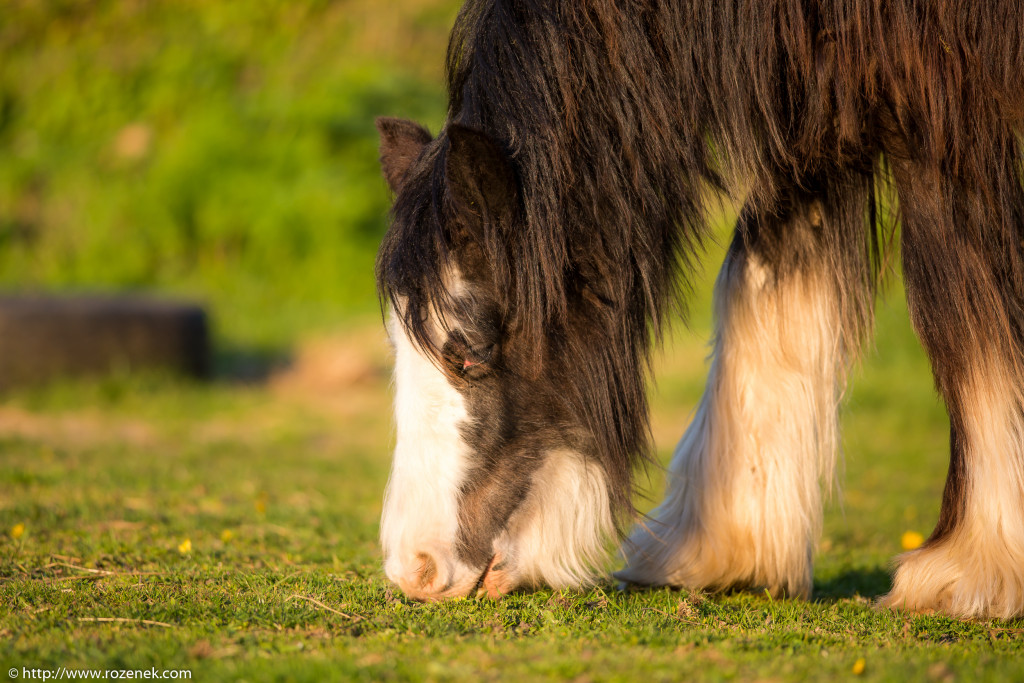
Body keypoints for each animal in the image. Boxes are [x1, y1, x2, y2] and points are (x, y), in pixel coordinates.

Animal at [374, 0, 1024, 618]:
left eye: (470, 353)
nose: (416, 569)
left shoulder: (945, 116)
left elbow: (969, 322)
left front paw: (971, 570)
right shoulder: (807, 124)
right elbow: (755, 288)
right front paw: (717, 548)